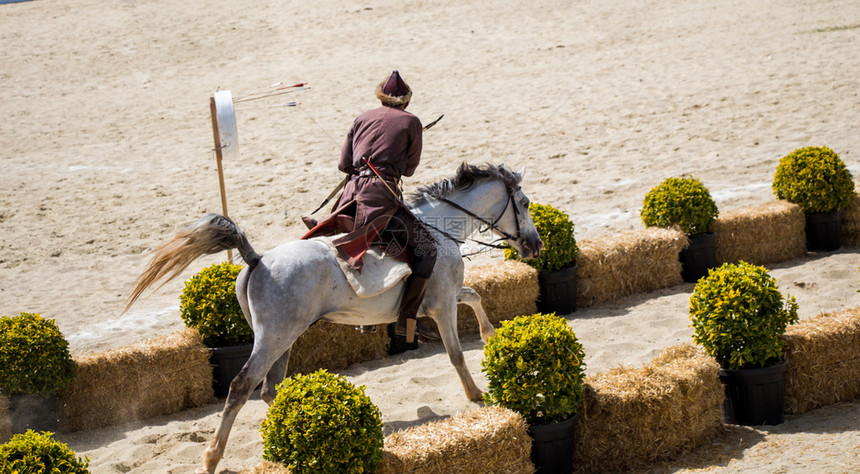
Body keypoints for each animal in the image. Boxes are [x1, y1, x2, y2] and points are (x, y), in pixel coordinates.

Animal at [124, 164, 540, 474]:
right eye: (524, 203)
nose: (534, 245)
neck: (442, 229)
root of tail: (256, 260)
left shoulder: (444, 299)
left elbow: (475, 296)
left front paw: (490, 334)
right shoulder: (441, 305)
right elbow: (455, 352)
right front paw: (476, 394)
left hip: (283, 338)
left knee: (269, 389)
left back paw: (289, 431)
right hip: (274, 338)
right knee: (242, 387)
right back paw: (213, 456)